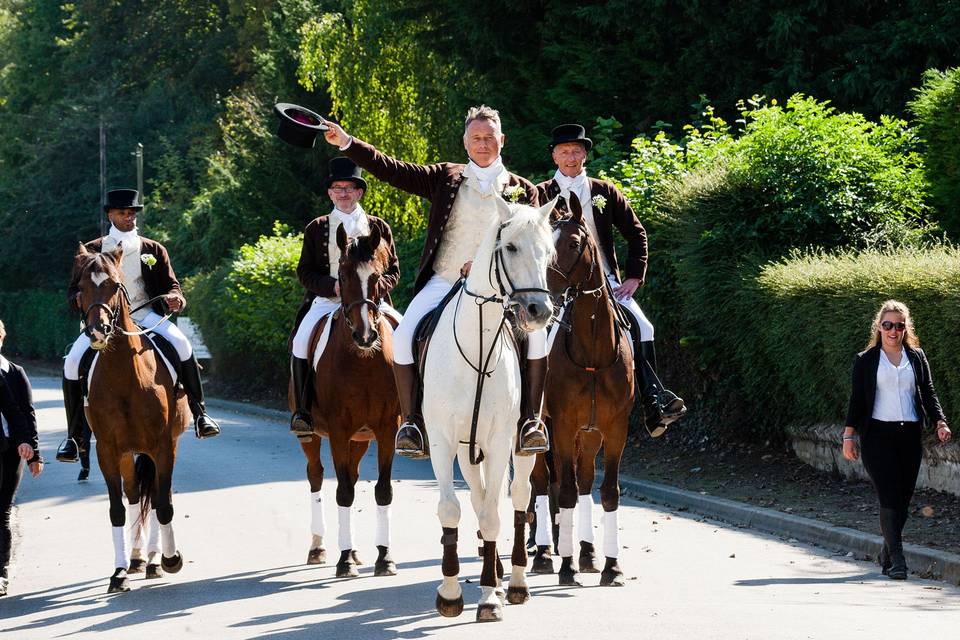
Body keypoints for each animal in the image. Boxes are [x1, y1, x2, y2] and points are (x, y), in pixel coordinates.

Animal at [71, 242, 188, 592]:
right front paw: (119, 572)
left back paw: (153, 560)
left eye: (114, 284)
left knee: (158, 496)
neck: (125, 376)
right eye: (81, 287)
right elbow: (117, 510)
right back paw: (136, 559)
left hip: (161, 447)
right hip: (127, 452)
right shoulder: (108, 450)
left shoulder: (163, 446)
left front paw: (169, 559)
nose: (97, 332)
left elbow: (163, 504)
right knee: (136, 494)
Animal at [288, 226, 402, 580]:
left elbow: (383, 490)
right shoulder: (338, 431)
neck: (363, 361)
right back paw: (320, 548)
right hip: (311, 435)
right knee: (316, 475)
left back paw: (355, 552)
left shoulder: (386, 429)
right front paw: (343, 561)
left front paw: (385, 558)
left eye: (377, 276)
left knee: (350, 474)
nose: (365, 336)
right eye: (341, 274)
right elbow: (343, 492)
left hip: (361, 438)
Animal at [420, 195, 556, 620]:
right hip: (468, 449)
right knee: (480, 500)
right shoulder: (446, 442)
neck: (477, 343)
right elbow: (453, 509)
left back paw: (514, 582)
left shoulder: (497, 442)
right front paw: (451, 594)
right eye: (509, 248)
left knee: (517, 499)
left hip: (519, 447)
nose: (539, 310)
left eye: (549, 252)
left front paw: (489, 598)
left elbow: (496, 514)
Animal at [532, 194, 636, 584]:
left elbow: (606, 491)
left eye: (574, 244)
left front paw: (611, 565)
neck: (593, 349)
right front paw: (565, 566)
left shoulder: (615, 428)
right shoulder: (562, 426)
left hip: (588, 435)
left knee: (583, 481)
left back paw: (587, 552)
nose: (544, 299)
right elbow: (562, 492)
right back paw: (545, 554)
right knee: (542, 481)